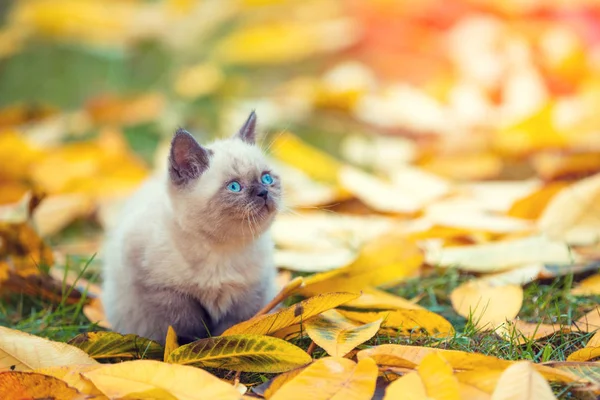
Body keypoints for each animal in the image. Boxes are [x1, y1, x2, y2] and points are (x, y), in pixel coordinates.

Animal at [101, 111, 282, 344]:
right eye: (234, 187)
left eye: (266, 178)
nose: (263, 192)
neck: (221, 251)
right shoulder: (164, 292)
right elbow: (188, 327)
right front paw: (194, 345)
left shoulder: (248, 295)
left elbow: (232, 327)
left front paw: (222, 342)